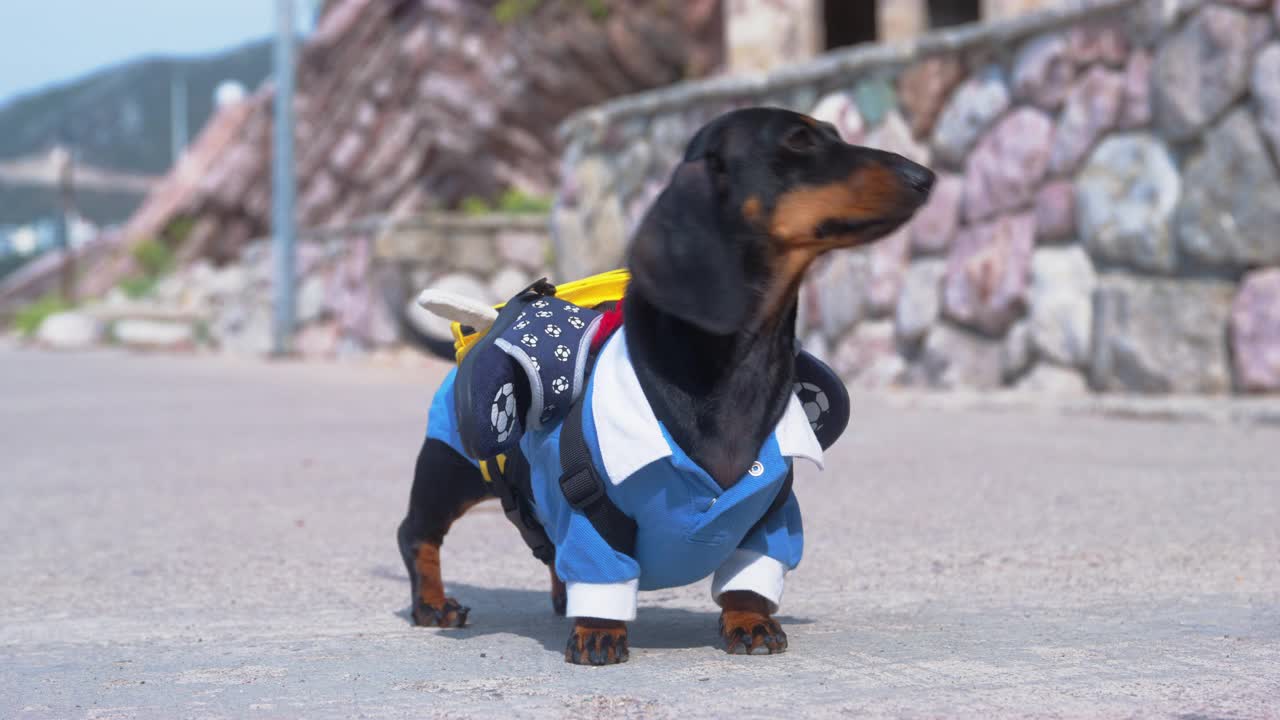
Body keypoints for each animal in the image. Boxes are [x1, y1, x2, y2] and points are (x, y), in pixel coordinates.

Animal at [394, 106, 936, 661]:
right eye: (799, 140)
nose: (924, 176)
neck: (737, 374)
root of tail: (485, 321)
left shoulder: (771, 518)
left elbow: (750, 577)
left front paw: (749, 621)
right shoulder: (591, 520)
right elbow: (598, 570)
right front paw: (598, 631)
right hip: (451, 468)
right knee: (417, 533)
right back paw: (434, 604)